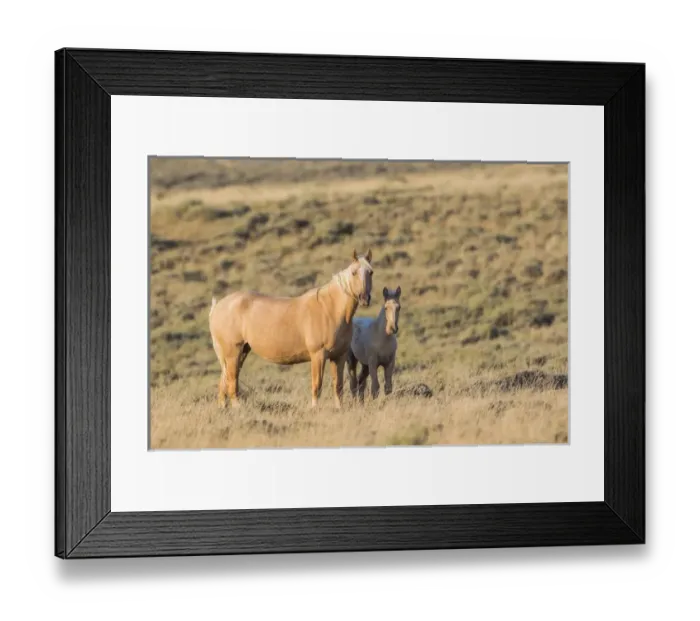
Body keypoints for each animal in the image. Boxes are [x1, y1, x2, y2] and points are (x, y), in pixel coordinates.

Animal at [209, 249, 374, 409]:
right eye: (354, 272)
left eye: (370, 272)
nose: (364, 298)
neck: (329, 309)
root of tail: (218, 306)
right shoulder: (318, 355)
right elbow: (317, 384)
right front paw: (314, 408)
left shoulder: (339, 356)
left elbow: (338, 385)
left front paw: (339, 408)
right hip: (233, 353)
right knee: (231, 381)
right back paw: (237, 407)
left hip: (240, 352)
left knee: (224, 382)